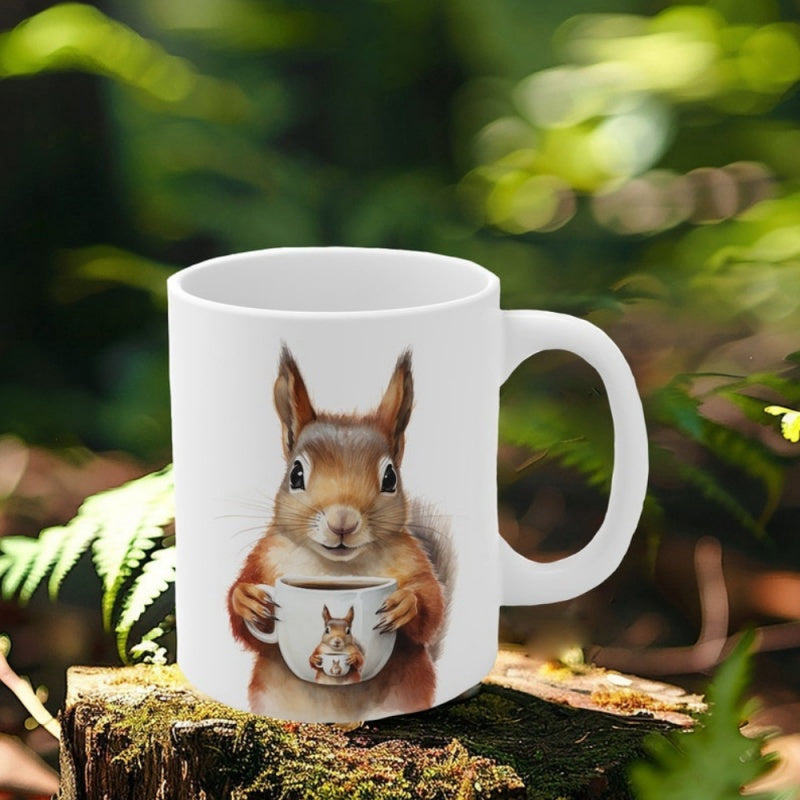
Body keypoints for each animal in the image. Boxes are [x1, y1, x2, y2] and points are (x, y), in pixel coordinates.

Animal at [228, 345, 451, 721]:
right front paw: (247, 599)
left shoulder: (414, 561)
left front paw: (404, 604)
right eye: (296, 474)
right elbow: (244, 624)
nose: (342, 522)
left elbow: (431, 607)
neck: (338, 568)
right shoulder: (266, 558)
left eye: (390, 478)